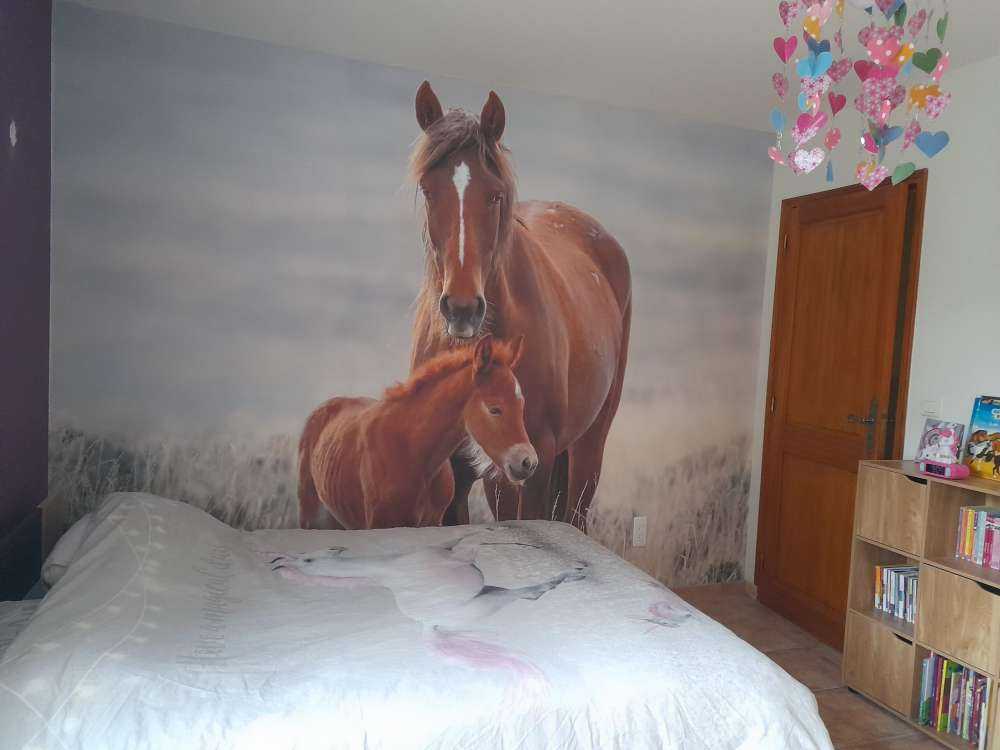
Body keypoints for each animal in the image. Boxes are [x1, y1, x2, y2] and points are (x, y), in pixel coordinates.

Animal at [297, 335, 537, 530]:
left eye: (521, 405)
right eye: (494, 409)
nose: (528, 462)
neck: (413, 453)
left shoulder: (432, 521)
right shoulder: (379, 523)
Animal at [407, 81, 632, 529]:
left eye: (494, 195)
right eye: (428, 189)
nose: (462, 309)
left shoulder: (527, 463)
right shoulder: (451, 468)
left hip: (587, 447)